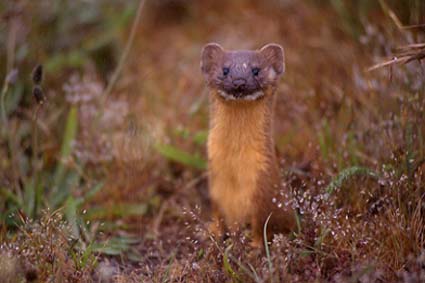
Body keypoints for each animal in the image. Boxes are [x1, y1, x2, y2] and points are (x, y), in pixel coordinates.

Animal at [200, 42, 294, 246]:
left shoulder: (263, 188)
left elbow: (261, 223)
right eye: (225, 69)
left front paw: (255, 247)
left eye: (256, 70)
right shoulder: (215, 185)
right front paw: (212, 233)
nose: (239, 81)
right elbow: (217, 214)